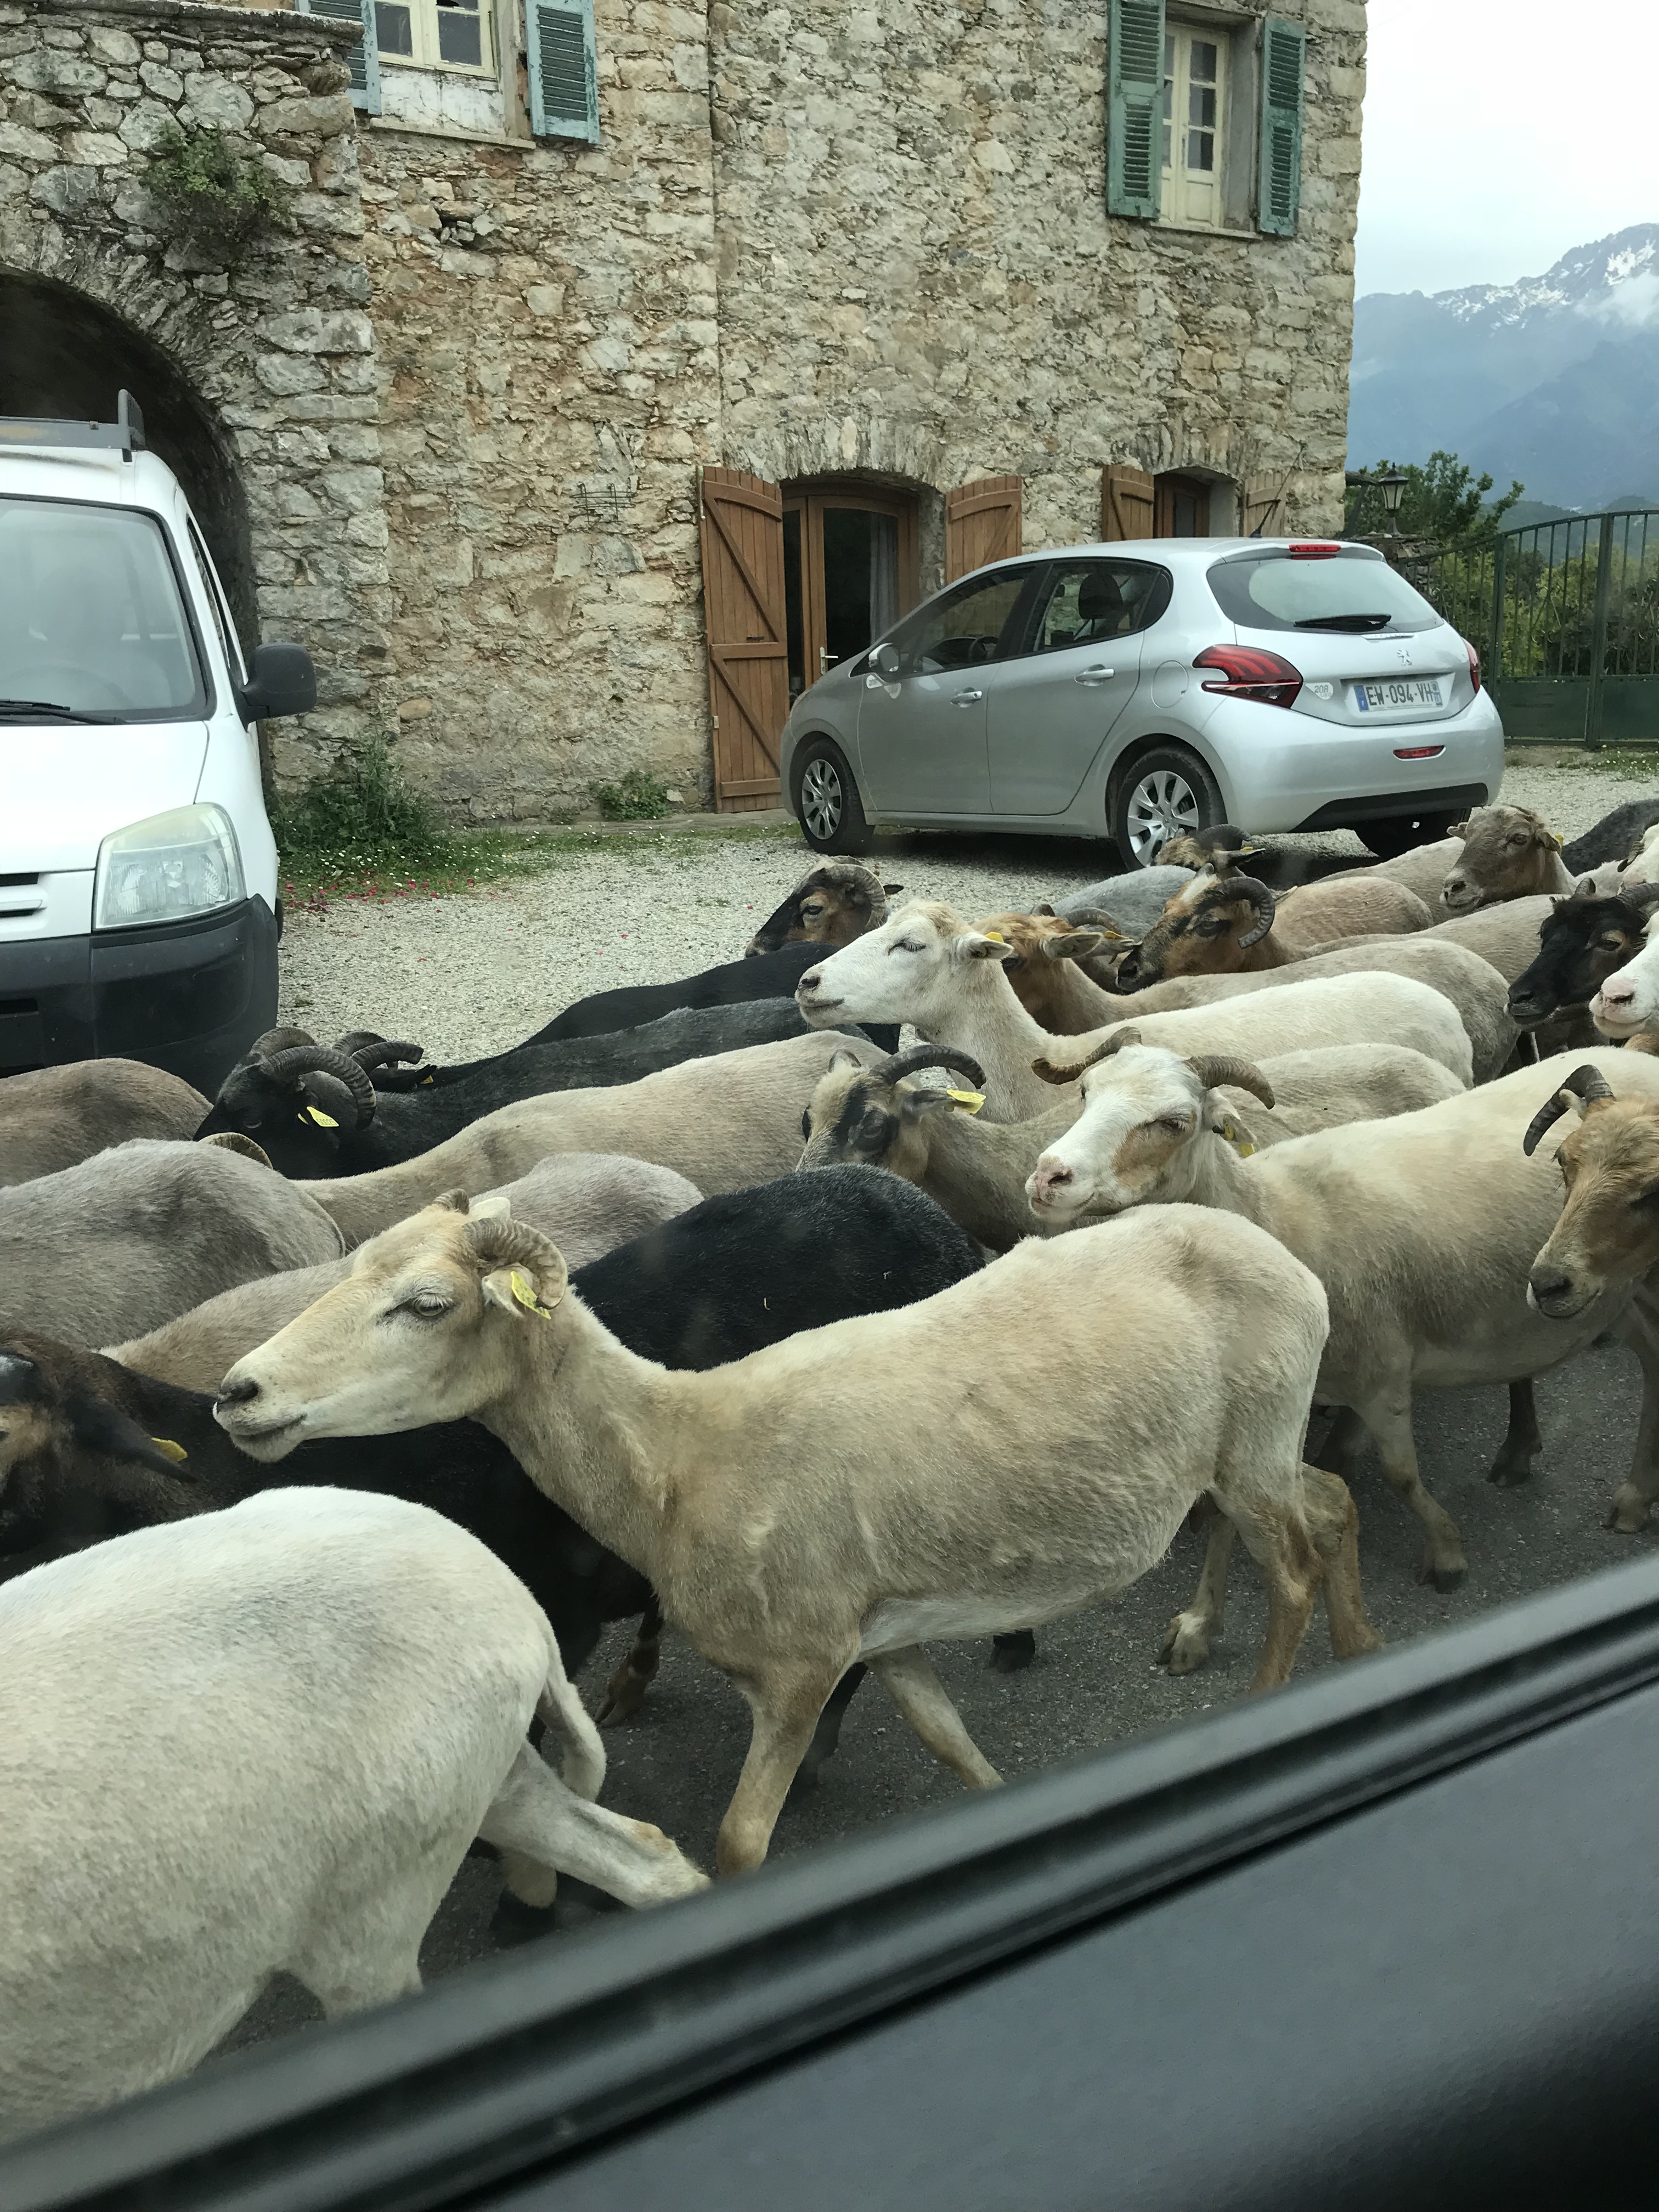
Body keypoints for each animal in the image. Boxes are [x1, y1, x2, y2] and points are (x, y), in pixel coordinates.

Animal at [216, 1193, 1379, 1875]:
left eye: (425, 1303)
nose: (238, 1392)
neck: (676, 1459)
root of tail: (1273, 1249)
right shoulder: (888, 1633)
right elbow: (952, 1745)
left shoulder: (798, 1668)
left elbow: (737, 1843)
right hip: (1251, 1447)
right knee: (1330, 1501)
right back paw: (1357, 1645)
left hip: (1253, 1436)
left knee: (1292, 1564)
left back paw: (1278, 1688)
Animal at [1022, 1038, 1659, 1595]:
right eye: (1085, 1091)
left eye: (1175, 1121)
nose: (1049, 1178)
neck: (1271, 1215)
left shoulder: (1381, 1375)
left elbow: (1401, 1475)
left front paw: (1446, 1556)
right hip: (1618, 1295)